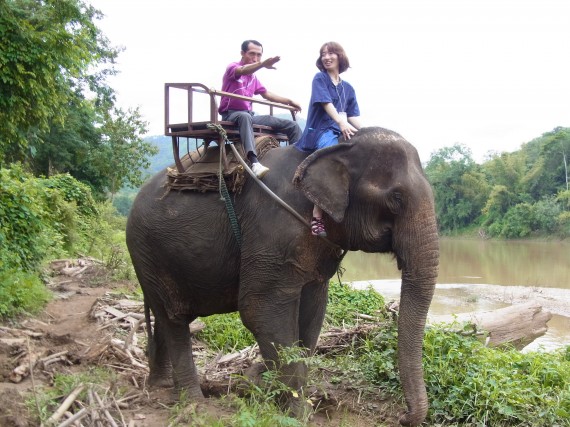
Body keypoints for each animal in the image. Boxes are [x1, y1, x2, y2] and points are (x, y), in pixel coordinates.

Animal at [126, 125, 440, 426]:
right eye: (396, 198)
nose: (402, 417)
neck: (333, 148)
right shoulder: (272, 230)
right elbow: (260, 308)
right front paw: (297, 414)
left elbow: (313, 311)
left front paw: (273, 389)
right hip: (145, 250)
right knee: (173, 318)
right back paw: (193, 403)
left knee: (165, 317)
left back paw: (161, 387)